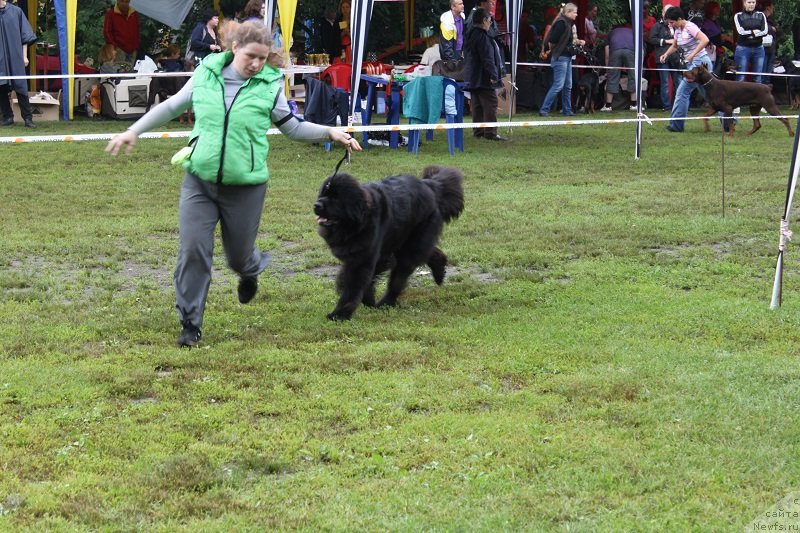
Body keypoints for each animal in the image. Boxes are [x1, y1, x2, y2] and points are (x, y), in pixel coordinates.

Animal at [312, 164, 462, 318]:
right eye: (323, 194)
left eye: (336, 198)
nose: (317, 205)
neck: (355, 223)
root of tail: (429, 185)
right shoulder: (370, 255)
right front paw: (366, 298)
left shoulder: (363, 259)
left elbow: (353, 285)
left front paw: (339, 313)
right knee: (428, 252)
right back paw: (439, 271)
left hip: (410, 246)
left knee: (398, 279)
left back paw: (386, 302)